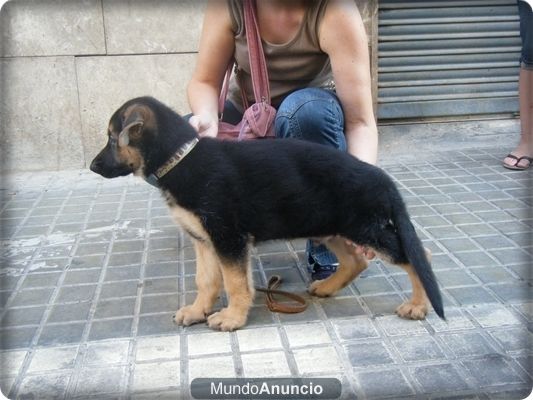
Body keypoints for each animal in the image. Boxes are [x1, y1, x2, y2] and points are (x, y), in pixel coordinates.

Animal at [91, 96, 444, 332]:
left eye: (111, 138)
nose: (92, 166)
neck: (179, 159)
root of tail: (382, 178)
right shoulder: (204, 240)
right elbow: (206, 280)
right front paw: (197, 311)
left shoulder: (229, 239)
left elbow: (234, 283)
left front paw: (232, 318)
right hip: (330, 227)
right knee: (357, 260)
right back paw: (327, 287)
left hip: (364, 227)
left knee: (418, 255)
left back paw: (417, 305)